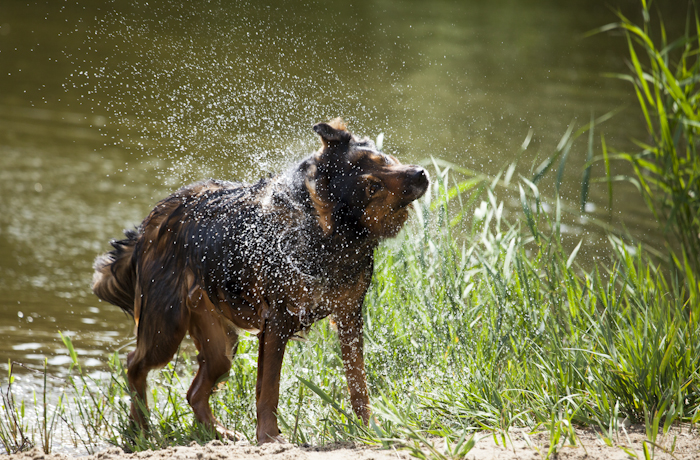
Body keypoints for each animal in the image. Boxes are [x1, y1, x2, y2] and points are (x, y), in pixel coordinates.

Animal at [91, 118, 432, 442]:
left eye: (383, 159)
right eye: (373, 188)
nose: (421, 174)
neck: (322, 234)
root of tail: (148, 224)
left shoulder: (349, 316)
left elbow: (358, 384)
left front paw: (369, 428)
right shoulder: (277, 322)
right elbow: (269, 389)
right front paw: (269, 436)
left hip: (220, 346)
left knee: (194, 392)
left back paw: (218, 433)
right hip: (166, 327)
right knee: (134, 363)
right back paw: (141, 427)